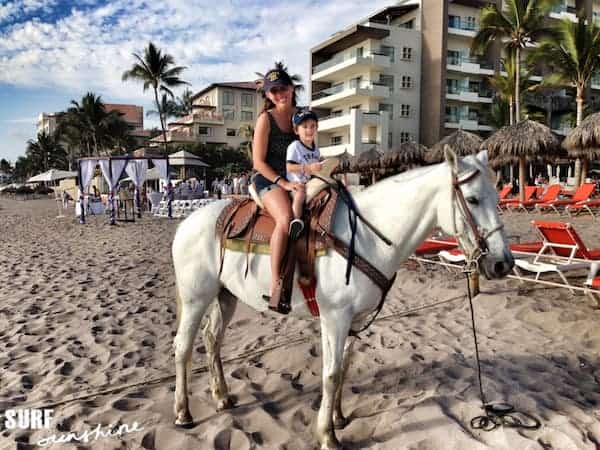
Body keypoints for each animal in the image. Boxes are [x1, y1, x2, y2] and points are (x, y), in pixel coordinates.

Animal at [171, 149, 512, 448]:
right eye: (472, 199)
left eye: (498, 198)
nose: (503, 263)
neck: (367, 236)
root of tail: (187, 222)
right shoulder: (335, 318)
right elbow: (332, 373)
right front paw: (327, 436)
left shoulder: (354, 319)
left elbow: (345, 367)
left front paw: (338, 418)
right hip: (195, 297)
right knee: (183, 347)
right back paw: (183, 413)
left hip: (225, 296)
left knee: (212, 339)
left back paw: (222, 397)